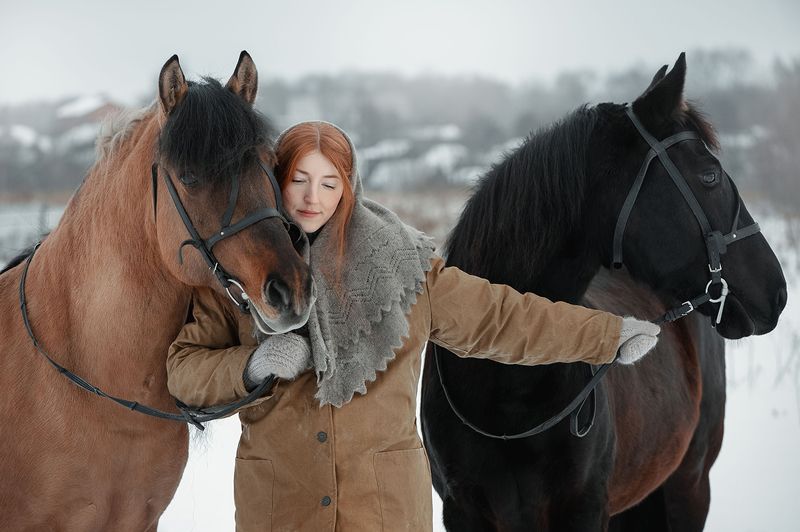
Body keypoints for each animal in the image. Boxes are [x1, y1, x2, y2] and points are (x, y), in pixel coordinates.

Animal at [421, 53, 787, 531]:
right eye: (709, 176)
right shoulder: (462, 511)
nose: (777, 290)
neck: (507, 391)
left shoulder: (587, 508)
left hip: (689, 485)